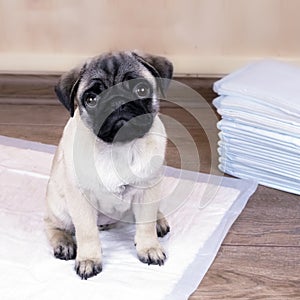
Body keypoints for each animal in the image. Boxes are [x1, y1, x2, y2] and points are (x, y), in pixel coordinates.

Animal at [43, 51, 172, 278]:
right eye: (91, 99)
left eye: (141, 89)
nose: (117, 101)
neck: (118, 147)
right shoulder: (81, 200)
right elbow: (86, 232)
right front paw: (88, 259)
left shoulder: (147, 192)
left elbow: (145, 225)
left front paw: (149, 248)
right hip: (59, 208)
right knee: (52, 225)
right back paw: (64, 243)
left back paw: (159, 220)